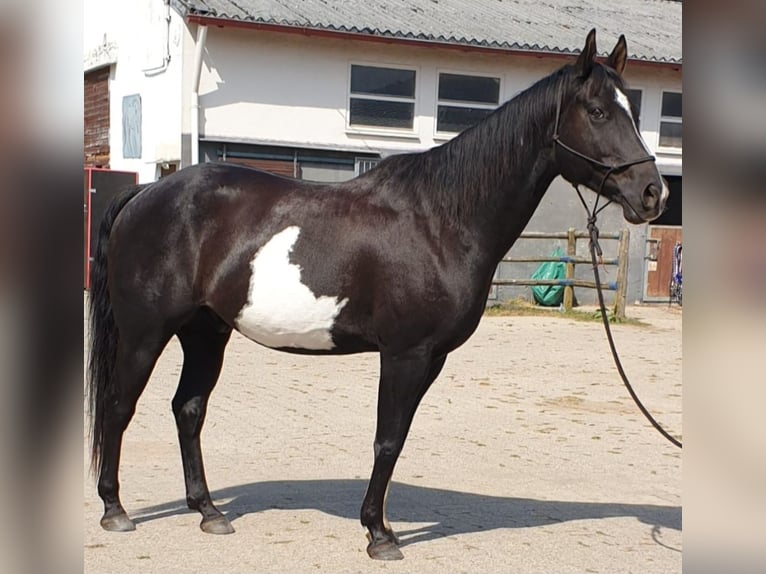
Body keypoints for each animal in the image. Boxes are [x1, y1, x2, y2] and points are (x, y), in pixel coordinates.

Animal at [87, 29, 668, 560]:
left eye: (634, 111)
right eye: (598, 112)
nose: (652, 194)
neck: (441, 218)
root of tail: (146, 192)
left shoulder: (429, 358)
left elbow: (398, 438)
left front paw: (377, 525)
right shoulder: (405, 354)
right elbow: (387, 440)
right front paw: (379, 534)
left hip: (206, 332)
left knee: (188, 409)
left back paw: (208, 511)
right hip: (146, 333)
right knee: (119, 405)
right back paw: (114, 509)